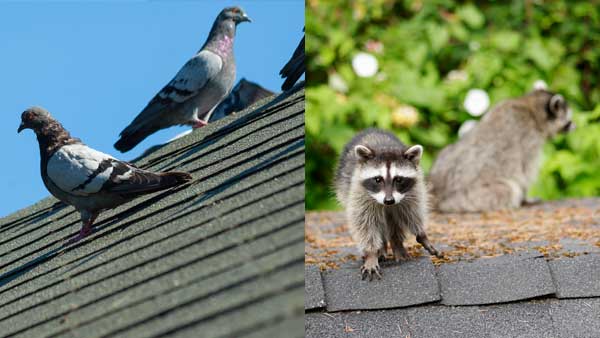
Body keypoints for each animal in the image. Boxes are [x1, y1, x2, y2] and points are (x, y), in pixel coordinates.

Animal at [336, 128, 438, 282]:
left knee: (393, 221)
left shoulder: (413, 191)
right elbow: (365, 223)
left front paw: (422, 235)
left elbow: (412, 213)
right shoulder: (360, 193)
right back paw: (381, 249)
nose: (389, 200)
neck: (385, 147)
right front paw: (371, 254)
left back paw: (397, 245)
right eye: (378, 179)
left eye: (399, 179)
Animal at [428, 88, 576, 213]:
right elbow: (525, 171)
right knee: (509, 190)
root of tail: (439, 193)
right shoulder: (529, 138)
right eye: (568, 120)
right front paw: (526, 198)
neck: (529, 107)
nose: (575, 126)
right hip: (469, 196)